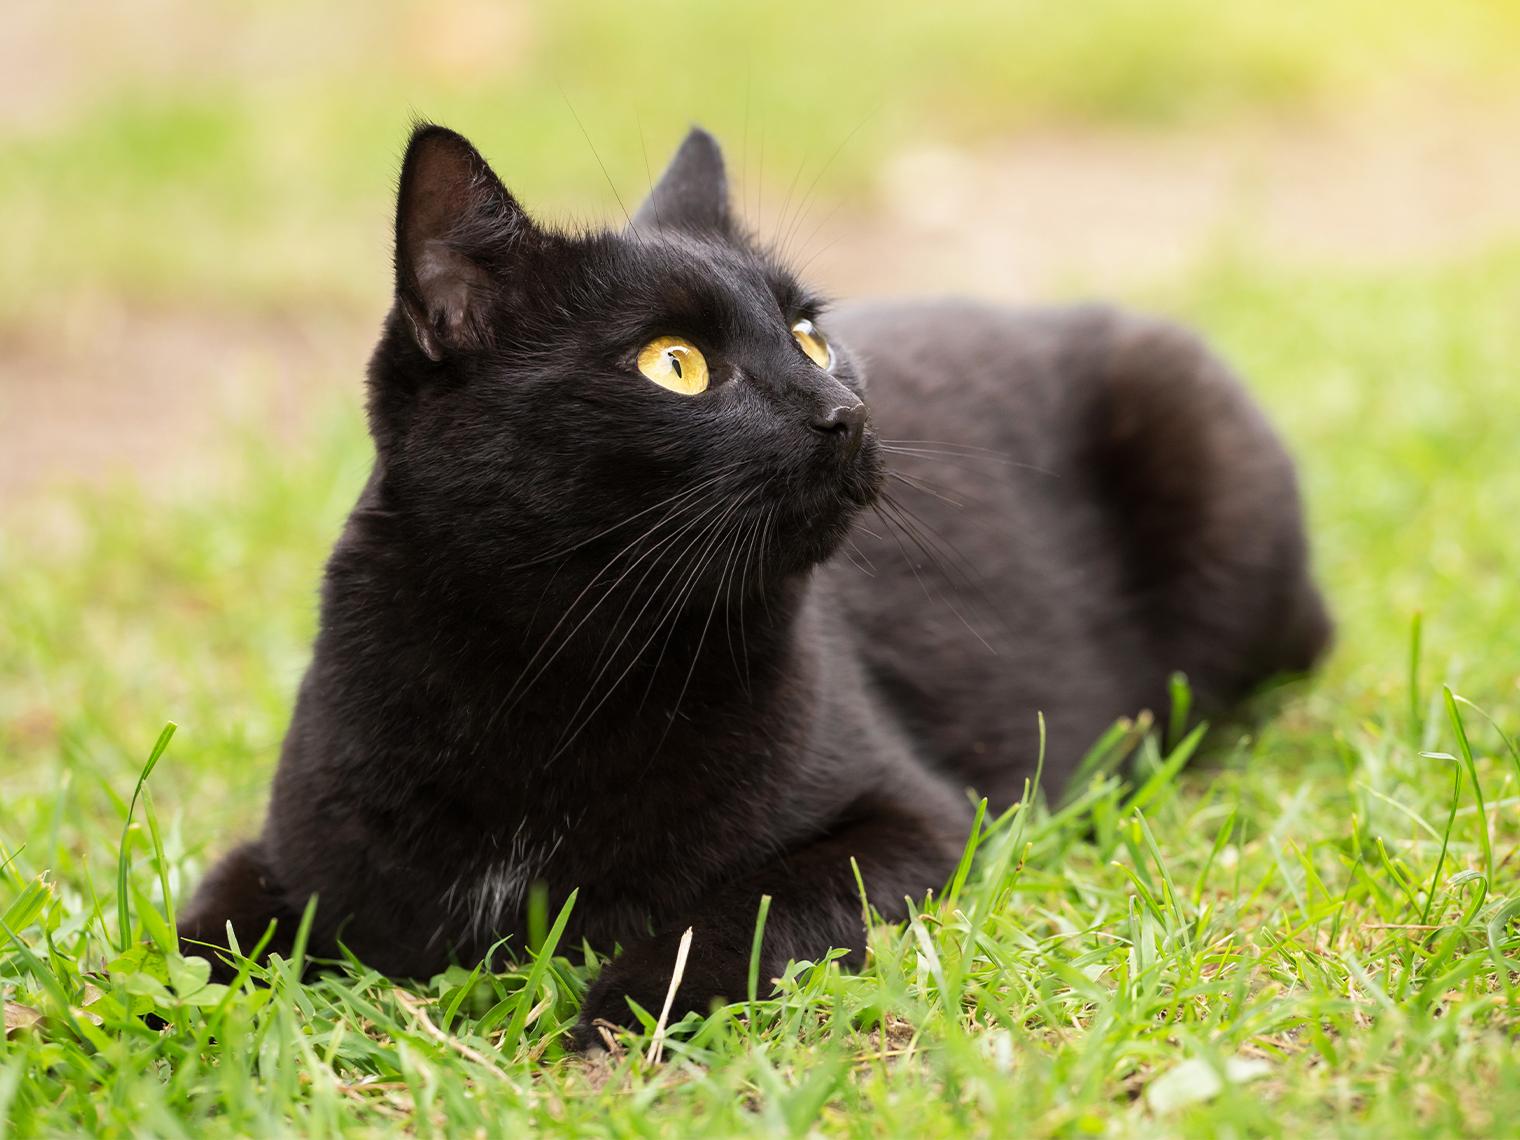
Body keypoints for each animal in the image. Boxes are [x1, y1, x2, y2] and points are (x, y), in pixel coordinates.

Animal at [180, 123, 1331, 1045]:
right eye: (674, 365)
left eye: (810, 335)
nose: (844, 412)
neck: (565, 670)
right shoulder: (298, 856)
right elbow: (196, 930)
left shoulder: (912, 819)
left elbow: (750, 907)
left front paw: (628, 1002)